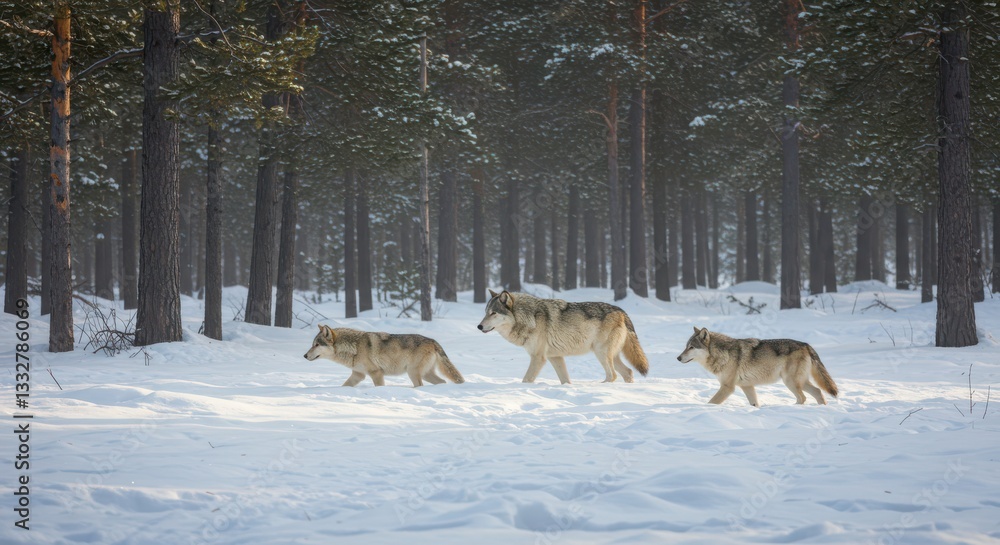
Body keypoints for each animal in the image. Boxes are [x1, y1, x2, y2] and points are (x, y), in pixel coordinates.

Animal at [303, 325, 464, 387]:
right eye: (312, 344)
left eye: (316, 345)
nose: (304, 355)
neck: (354, 347)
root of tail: (433, 341)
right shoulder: (358, 375)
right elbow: (344, 386)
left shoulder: (376, 373)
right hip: (425, 374)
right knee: (442, 382)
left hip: (413, 373)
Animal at [477, 289, 649, 384]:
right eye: (485, 312)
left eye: (493, 313)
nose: (479, 326)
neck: (529, 317)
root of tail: (621, 311)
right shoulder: (555, 357)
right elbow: (565, 380)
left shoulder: (538, 358)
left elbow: (526, 380)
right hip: (611, 356)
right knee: (628, 372)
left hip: (601, 353)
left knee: (612, 375)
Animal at [677, 327, 838, 406]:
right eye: (686, 346)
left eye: (691, 347)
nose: (678, 358)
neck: (723, 354)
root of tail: (806, 345)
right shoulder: (747, 386)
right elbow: (755, 403)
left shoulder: (728, 387)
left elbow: (711, 402)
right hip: (800, 382)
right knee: (818, 392)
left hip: (790, 382)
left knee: (803, 398)